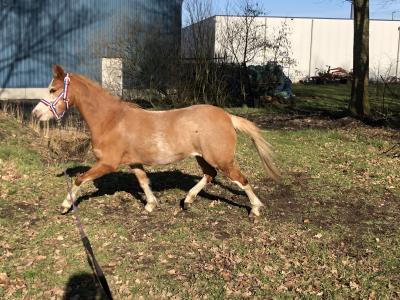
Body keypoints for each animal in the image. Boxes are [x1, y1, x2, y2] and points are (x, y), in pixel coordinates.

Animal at [32, 65, 280, 218]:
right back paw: (188, 200)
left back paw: (255, 209)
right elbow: (143, 181)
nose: (35, 114)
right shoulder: (134, 162)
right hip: (202, 158)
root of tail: (228, 116)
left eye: (53, 89)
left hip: (222, 159)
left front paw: (65, 206)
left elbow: (79, 180)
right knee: (210, 175)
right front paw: (151, 204)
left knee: (241, 180)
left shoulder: (107, 164)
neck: (111, 120)